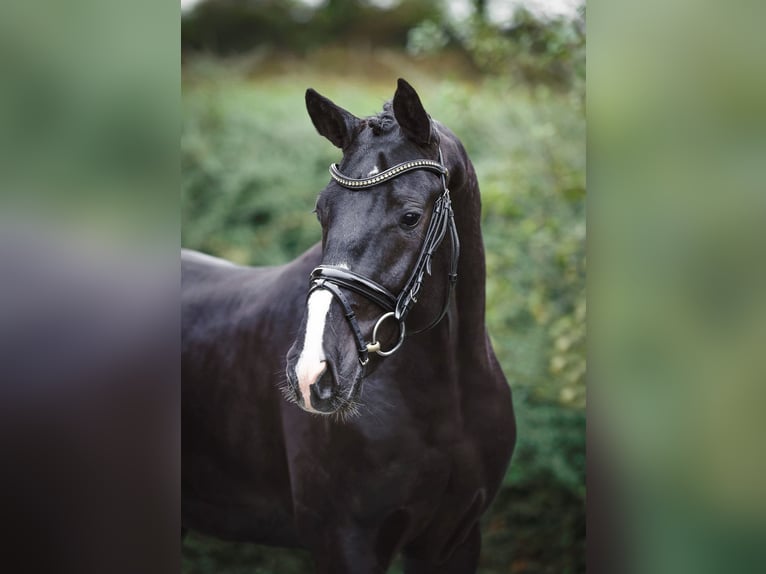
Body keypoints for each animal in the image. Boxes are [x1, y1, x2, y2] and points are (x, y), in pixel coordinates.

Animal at [182, 79, 516, 572]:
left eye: (410, 216)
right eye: (322, 211)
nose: (311, 373)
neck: (446, 399)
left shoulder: (455, 539)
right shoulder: (344, 542)